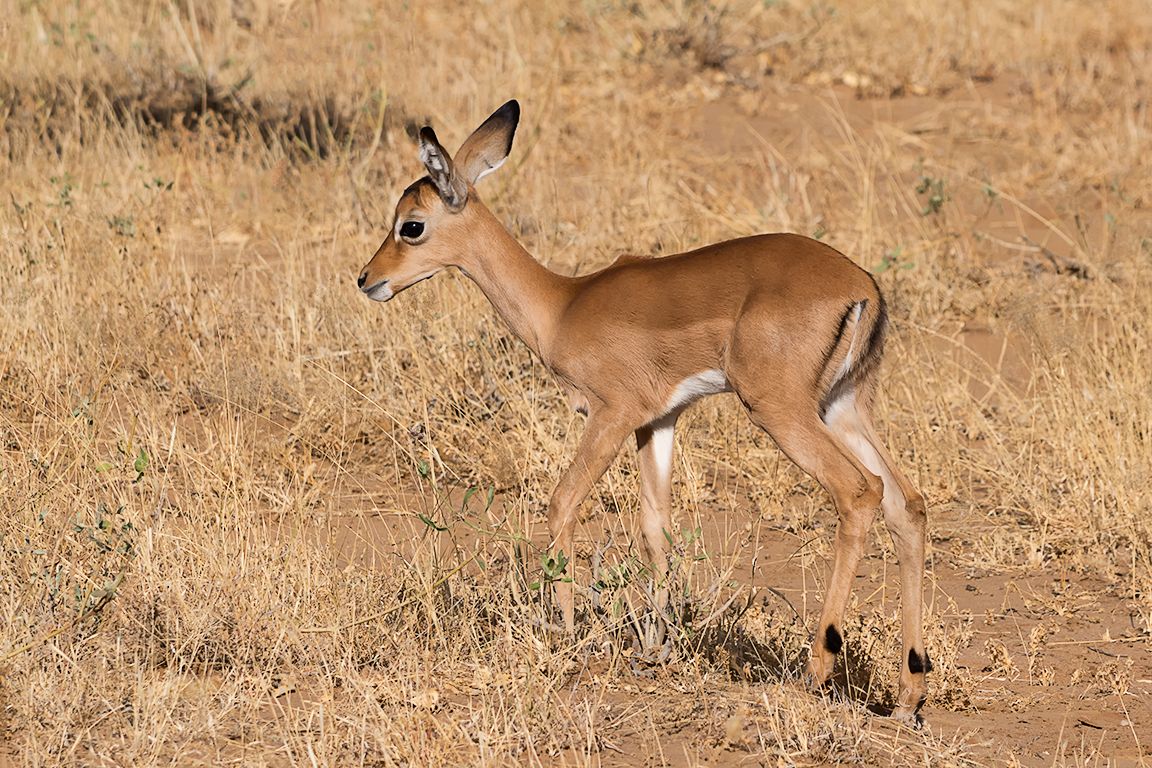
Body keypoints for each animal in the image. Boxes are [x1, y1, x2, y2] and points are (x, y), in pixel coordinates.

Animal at [357, 100, 930, 720]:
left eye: (411, 225)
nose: (367, 280)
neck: (563, 307)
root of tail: (863, 286)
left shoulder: (612, 415)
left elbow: (562, 502)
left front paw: (566, 632)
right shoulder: (658, 422)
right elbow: (656, 527)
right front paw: (657, 647)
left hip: (780, 412)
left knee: (860, 491)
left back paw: (816, 671)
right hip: (842, 407)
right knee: (907, 504)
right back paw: (908, 694)